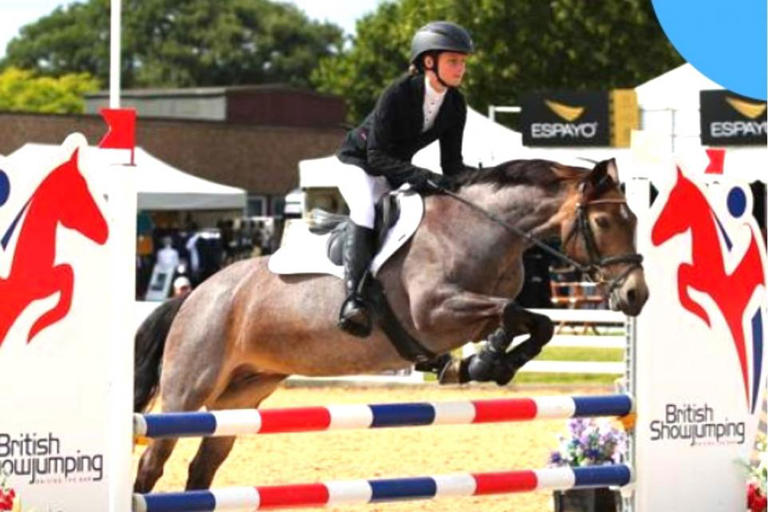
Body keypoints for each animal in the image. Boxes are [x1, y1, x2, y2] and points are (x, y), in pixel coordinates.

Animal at [0, 150, 109, 346]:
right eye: (79, 188)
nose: (105, 231)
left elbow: (67, 272)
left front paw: (36, 328)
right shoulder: (37, 289)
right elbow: (67, 274)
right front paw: (36, 328)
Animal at [134, 157, 648, 492]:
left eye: (633, 219)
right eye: (603, 222)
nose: (635, 295)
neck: (481, 231)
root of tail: (194, 295)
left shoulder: (472, 314)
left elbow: (532, 321)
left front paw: (484, 364)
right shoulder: (437, 313)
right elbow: (517, 314)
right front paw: (486, 364)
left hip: (242, 395)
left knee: (202, 469)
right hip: (189, 391)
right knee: (152, 463)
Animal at [652, 169, 764, 412]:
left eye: (676, 202)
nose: (654, 237)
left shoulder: (702, 281)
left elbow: (682, 274)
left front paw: (702, 314)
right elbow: (681, 274)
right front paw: (702, 313)